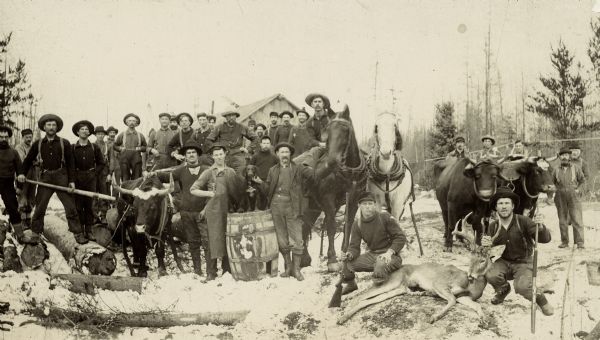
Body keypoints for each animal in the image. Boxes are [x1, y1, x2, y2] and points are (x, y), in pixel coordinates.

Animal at [298, 105, 368, 272]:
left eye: (345, 129)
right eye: (327, 130)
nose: (332, 161)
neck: (349, 173)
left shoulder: (354, 199)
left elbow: (348, 225)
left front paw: (346, 254)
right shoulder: (328, 199)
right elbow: (331, 226)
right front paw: (332, 260)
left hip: (314, 207)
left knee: (306, 226)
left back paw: (305, 259)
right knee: (303, 226)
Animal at [338, 226, 502, 324]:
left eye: (483, 260)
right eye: (470, 258)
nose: (470, 275)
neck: (471, 286)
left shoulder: (464, 297)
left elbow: (475, 305)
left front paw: (484, 320)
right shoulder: (439, 284)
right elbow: (452, 300)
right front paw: (434, 317)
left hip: (398, 289)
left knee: (368, 300)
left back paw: (343, 316)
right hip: (393, 282)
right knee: (361, 295)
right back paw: (342, 314)